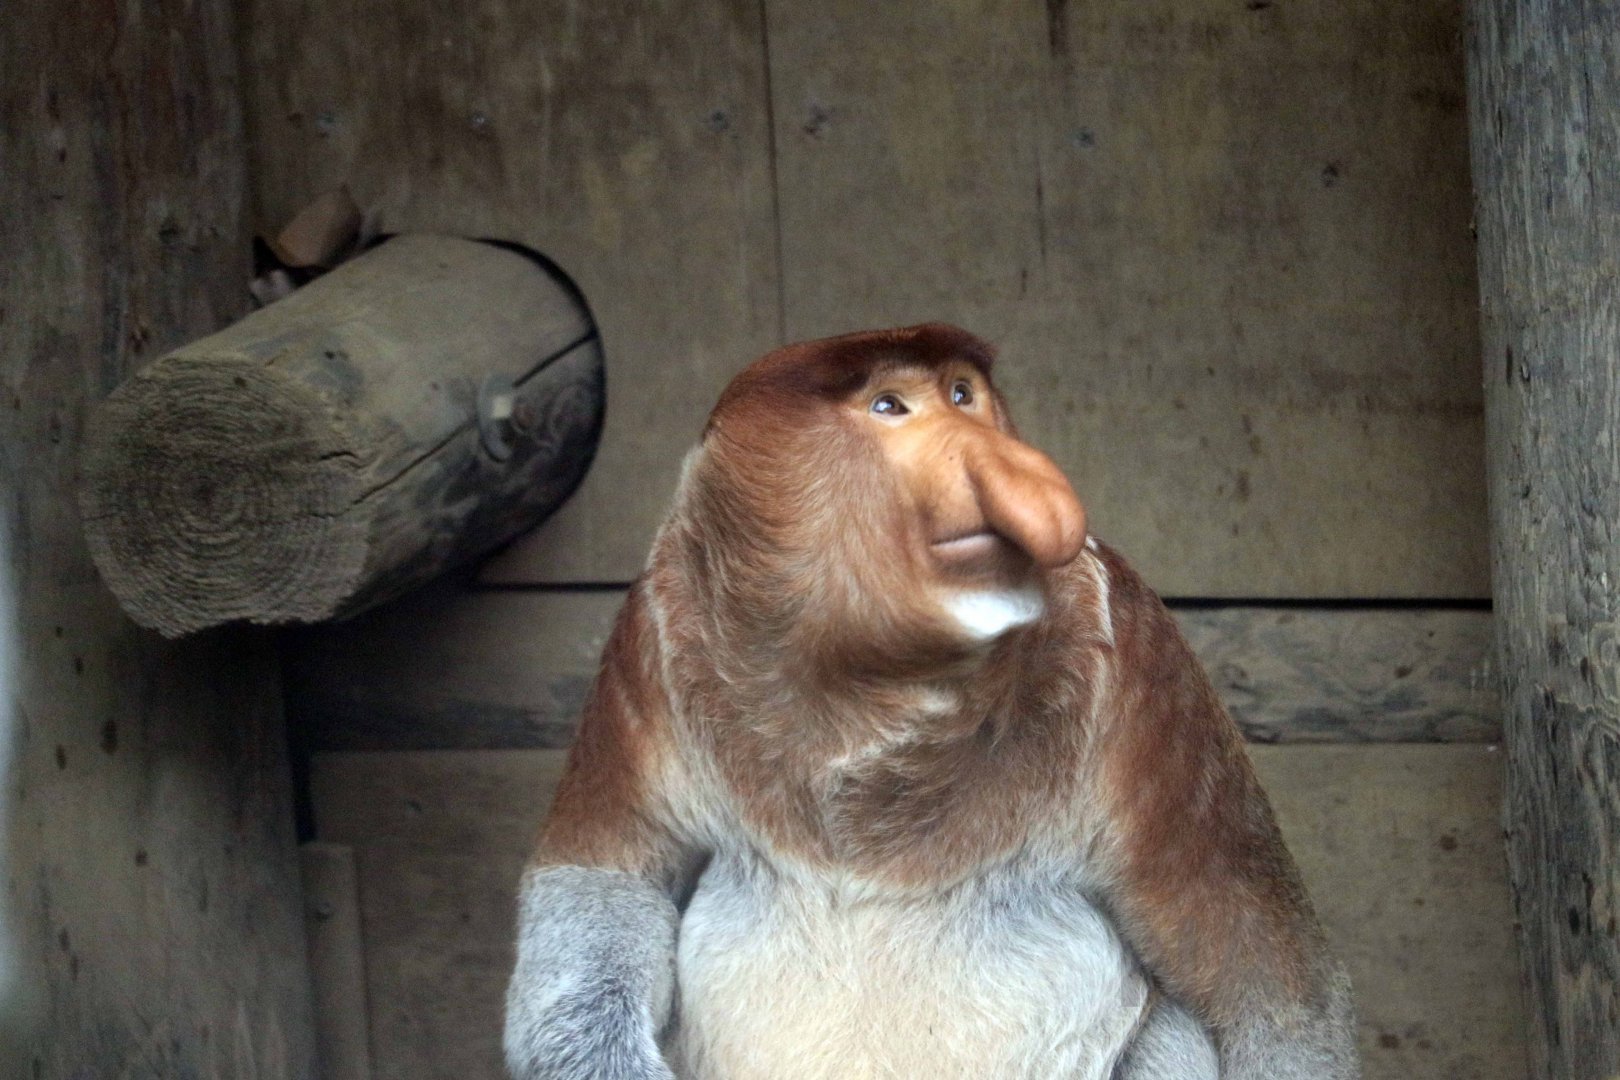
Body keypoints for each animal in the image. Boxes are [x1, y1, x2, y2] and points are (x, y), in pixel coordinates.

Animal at [504, 323, 1358, 1079]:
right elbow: (605, 887)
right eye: (891, 405)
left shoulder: (1143, 666)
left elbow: (1267, 980)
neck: (869, 683)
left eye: (962, 393)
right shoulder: (651, 640)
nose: (1018, 472)